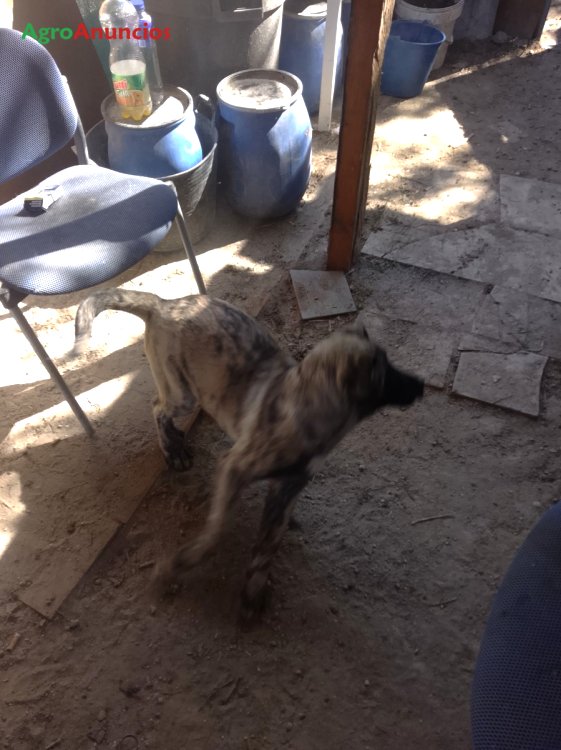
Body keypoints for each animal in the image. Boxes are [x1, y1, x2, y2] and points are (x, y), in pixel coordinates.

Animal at [75, 290, 424, 618]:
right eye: (385, 374)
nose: (421, 386)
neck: (304, 409)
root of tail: (163, 303)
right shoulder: (234, 469)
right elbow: (217, 531)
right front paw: (179, 564)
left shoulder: (288, 486)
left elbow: (267, 544)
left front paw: (253, 590)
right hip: (182, 393)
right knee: (157, 408)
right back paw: (173, 450)